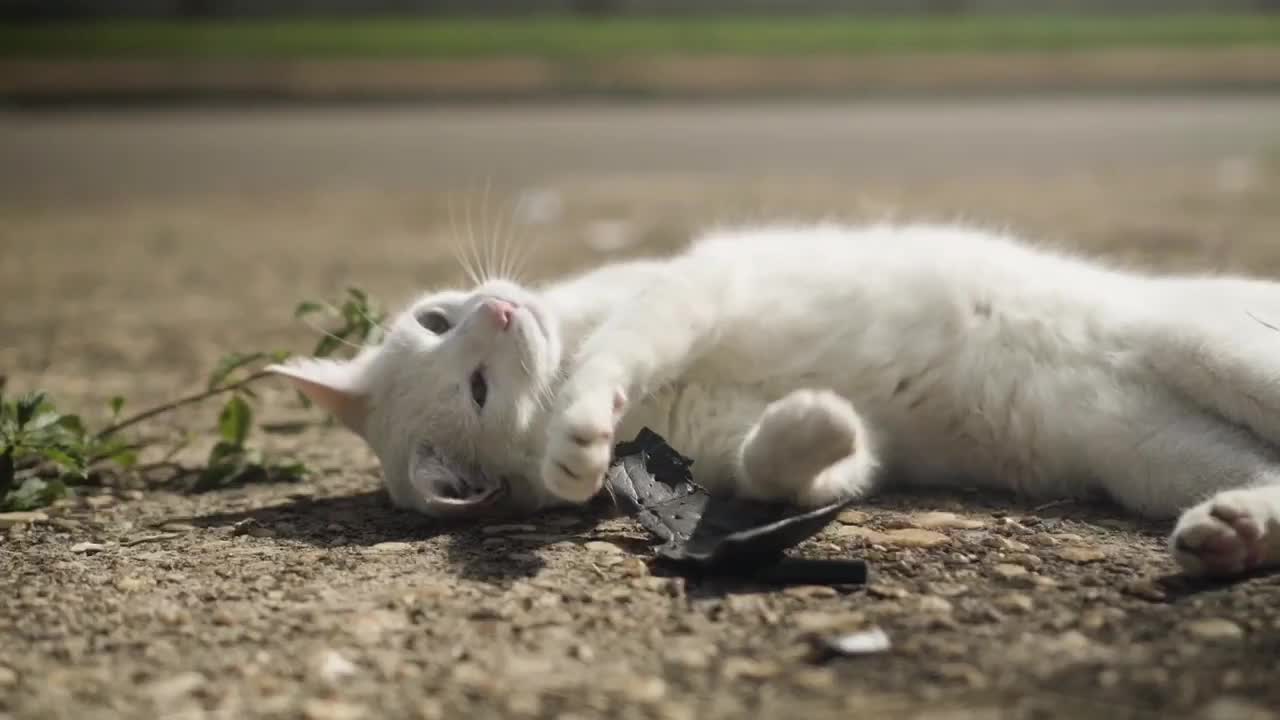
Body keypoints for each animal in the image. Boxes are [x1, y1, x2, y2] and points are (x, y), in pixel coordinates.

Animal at [267, 224, 1280, 576]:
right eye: (477, 389)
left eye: (439, 321)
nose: (504, 312)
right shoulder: (750, 453)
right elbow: (790, 464)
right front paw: (812, 422)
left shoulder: (685, 289)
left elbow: (617, 348)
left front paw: (577, 424)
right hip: (1152, 453)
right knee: (1262, 474)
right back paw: (1233, 533)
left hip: (1214, 354)